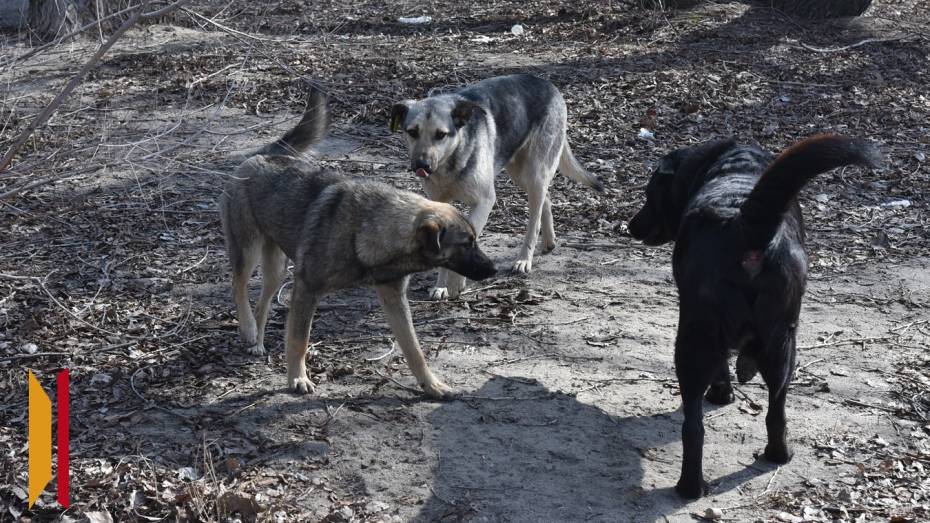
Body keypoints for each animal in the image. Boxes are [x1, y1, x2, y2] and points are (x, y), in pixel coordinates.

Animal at [220, 90, 496, 398]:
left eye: (475, 240)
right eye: (466, 243)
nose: (494, 269)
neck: (371, 228)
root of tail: (260, 155)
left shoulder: (393, 297)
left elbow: (414, 350)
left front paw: (431, 384)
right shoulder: (306, 289)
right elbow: (299, 341)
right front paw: (297, 378)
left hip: (276, 270)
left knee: (262, 303)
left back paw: (256, 340)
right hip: (247, 251)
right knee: (238, 286)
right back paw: (247, 328)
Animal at [386, 75, 600, 300]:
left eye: (441, 135)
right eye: (412, 132)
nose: (422, 165)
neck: (452, 159)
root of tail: (547, 84)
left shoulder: (484, 201)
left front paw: (456, 283)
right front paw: (442, 285)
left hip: (535, 173)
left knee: (534, 220)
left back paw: (524, 259)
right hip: (521, 173)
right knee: (546, 199)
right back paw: (549, 241)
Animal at [628, 133, 880, 498]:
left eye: (650, 196)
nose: (630, 226)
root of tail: (743, 222)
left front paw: (724, 390)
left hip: (699, 338)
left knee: (695, 426)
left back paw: (690, 486)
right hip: (782, 344)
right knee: (774, 410)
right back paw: (777, 455)